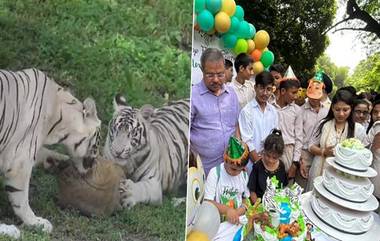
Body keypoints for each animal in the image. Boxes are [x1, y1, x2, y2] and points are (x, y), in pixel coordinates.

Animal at [0, 68, 101, 237]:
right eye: (98, 141)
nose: (95, 165)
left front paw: (60, 161)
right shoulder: (19, 161)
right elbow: (21, 197)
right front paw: (36, 222)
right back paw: (10, 230)